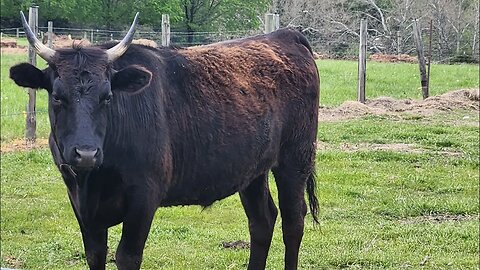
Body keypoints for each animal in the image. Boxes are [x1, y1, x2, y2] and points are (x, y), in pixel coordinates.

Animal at [10, 11, 318, 270]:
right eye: (57, 97)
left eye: (107, 96)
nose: (85, 153)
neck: (93, 180)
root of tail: (283, 35)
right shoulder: (81, 205)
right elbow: (95, 255)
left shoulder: (144, 196)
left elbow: (127, 256)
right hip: (252, 170)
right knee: (262, 221)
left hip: (295, 158)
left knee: (293, 221)